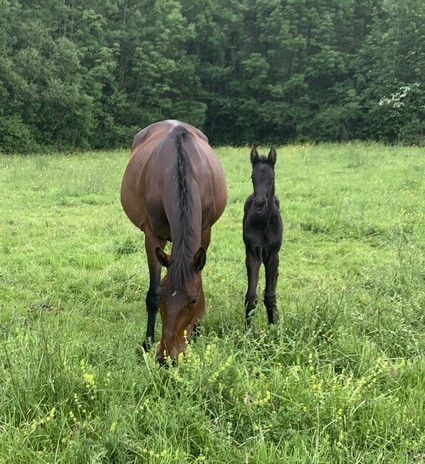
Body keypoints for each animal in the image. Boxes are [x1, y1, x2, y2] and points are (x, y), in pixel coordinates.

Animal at [121, 119, 227, 362]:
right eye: (163, 296)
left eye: (193, 300)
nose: (166, 358)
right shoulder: (152, 236)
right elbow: (150, 294)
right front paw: (147, 342)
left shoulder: (205, 231)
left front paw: (196, 332)